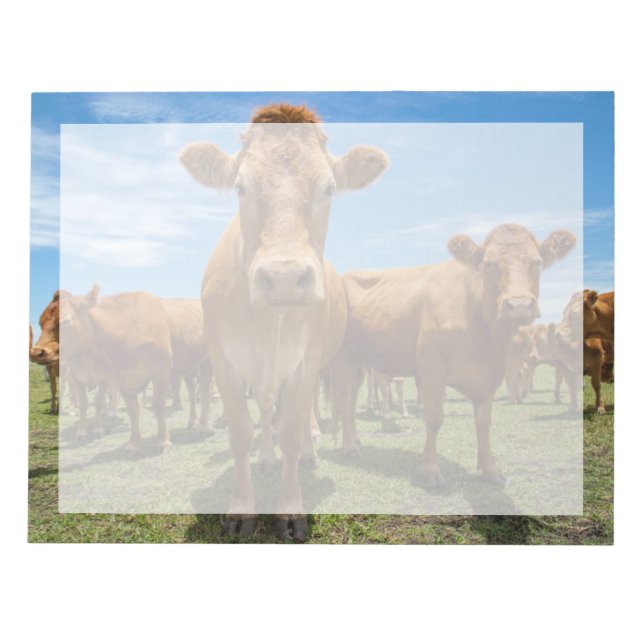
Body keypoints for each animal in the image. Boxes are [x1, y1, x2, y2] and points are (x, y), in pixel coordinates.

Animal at [59, 286, 173, 450]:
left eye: (66, 321)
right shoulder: (79, 376)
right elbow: (87, 404)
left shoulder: (160, 371)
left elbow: (158, 405)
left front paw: (163, 441)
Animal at [180, 103, 388, 539]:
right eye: (240, 187)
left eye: (329, 189)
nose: (285, 278)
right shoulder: (223, 361)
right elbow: (242, 432)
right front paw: (242, 507)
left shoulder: (306, 361)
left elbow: (291, 431)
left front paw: (291, 509)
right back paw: (265, 458)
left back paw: (312, 453)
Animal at [330, 223, 575, 487]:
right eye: (488, 264)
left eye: (537, 262)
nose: (519, 305)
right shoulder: (431, 367)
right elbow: (434, 419)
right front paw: (430, 471)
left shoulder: (489, 375)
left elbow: (484, 423)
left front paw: (491, 470)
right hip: (342, 357)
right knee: (343, 398)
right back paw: (349, 447)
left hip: (358, 360)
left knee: (351, 399)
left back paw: (354, 440)